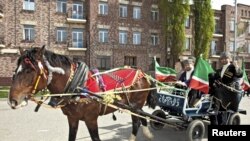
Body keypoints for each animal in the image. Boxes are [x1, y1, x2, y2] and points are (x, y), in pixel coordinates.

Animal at [7, 45, 156, 141]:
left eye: (29, 71)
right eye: (16, 69)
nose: (12, 101)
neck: (77, 87)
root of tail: (143, 73)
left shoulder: (91, 120)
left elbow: (96, 138)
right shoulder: (72, 118)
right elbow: (71, 138)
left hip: (135, 105)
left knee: (136, 122)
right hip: (134, 106)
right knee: (142, 117)